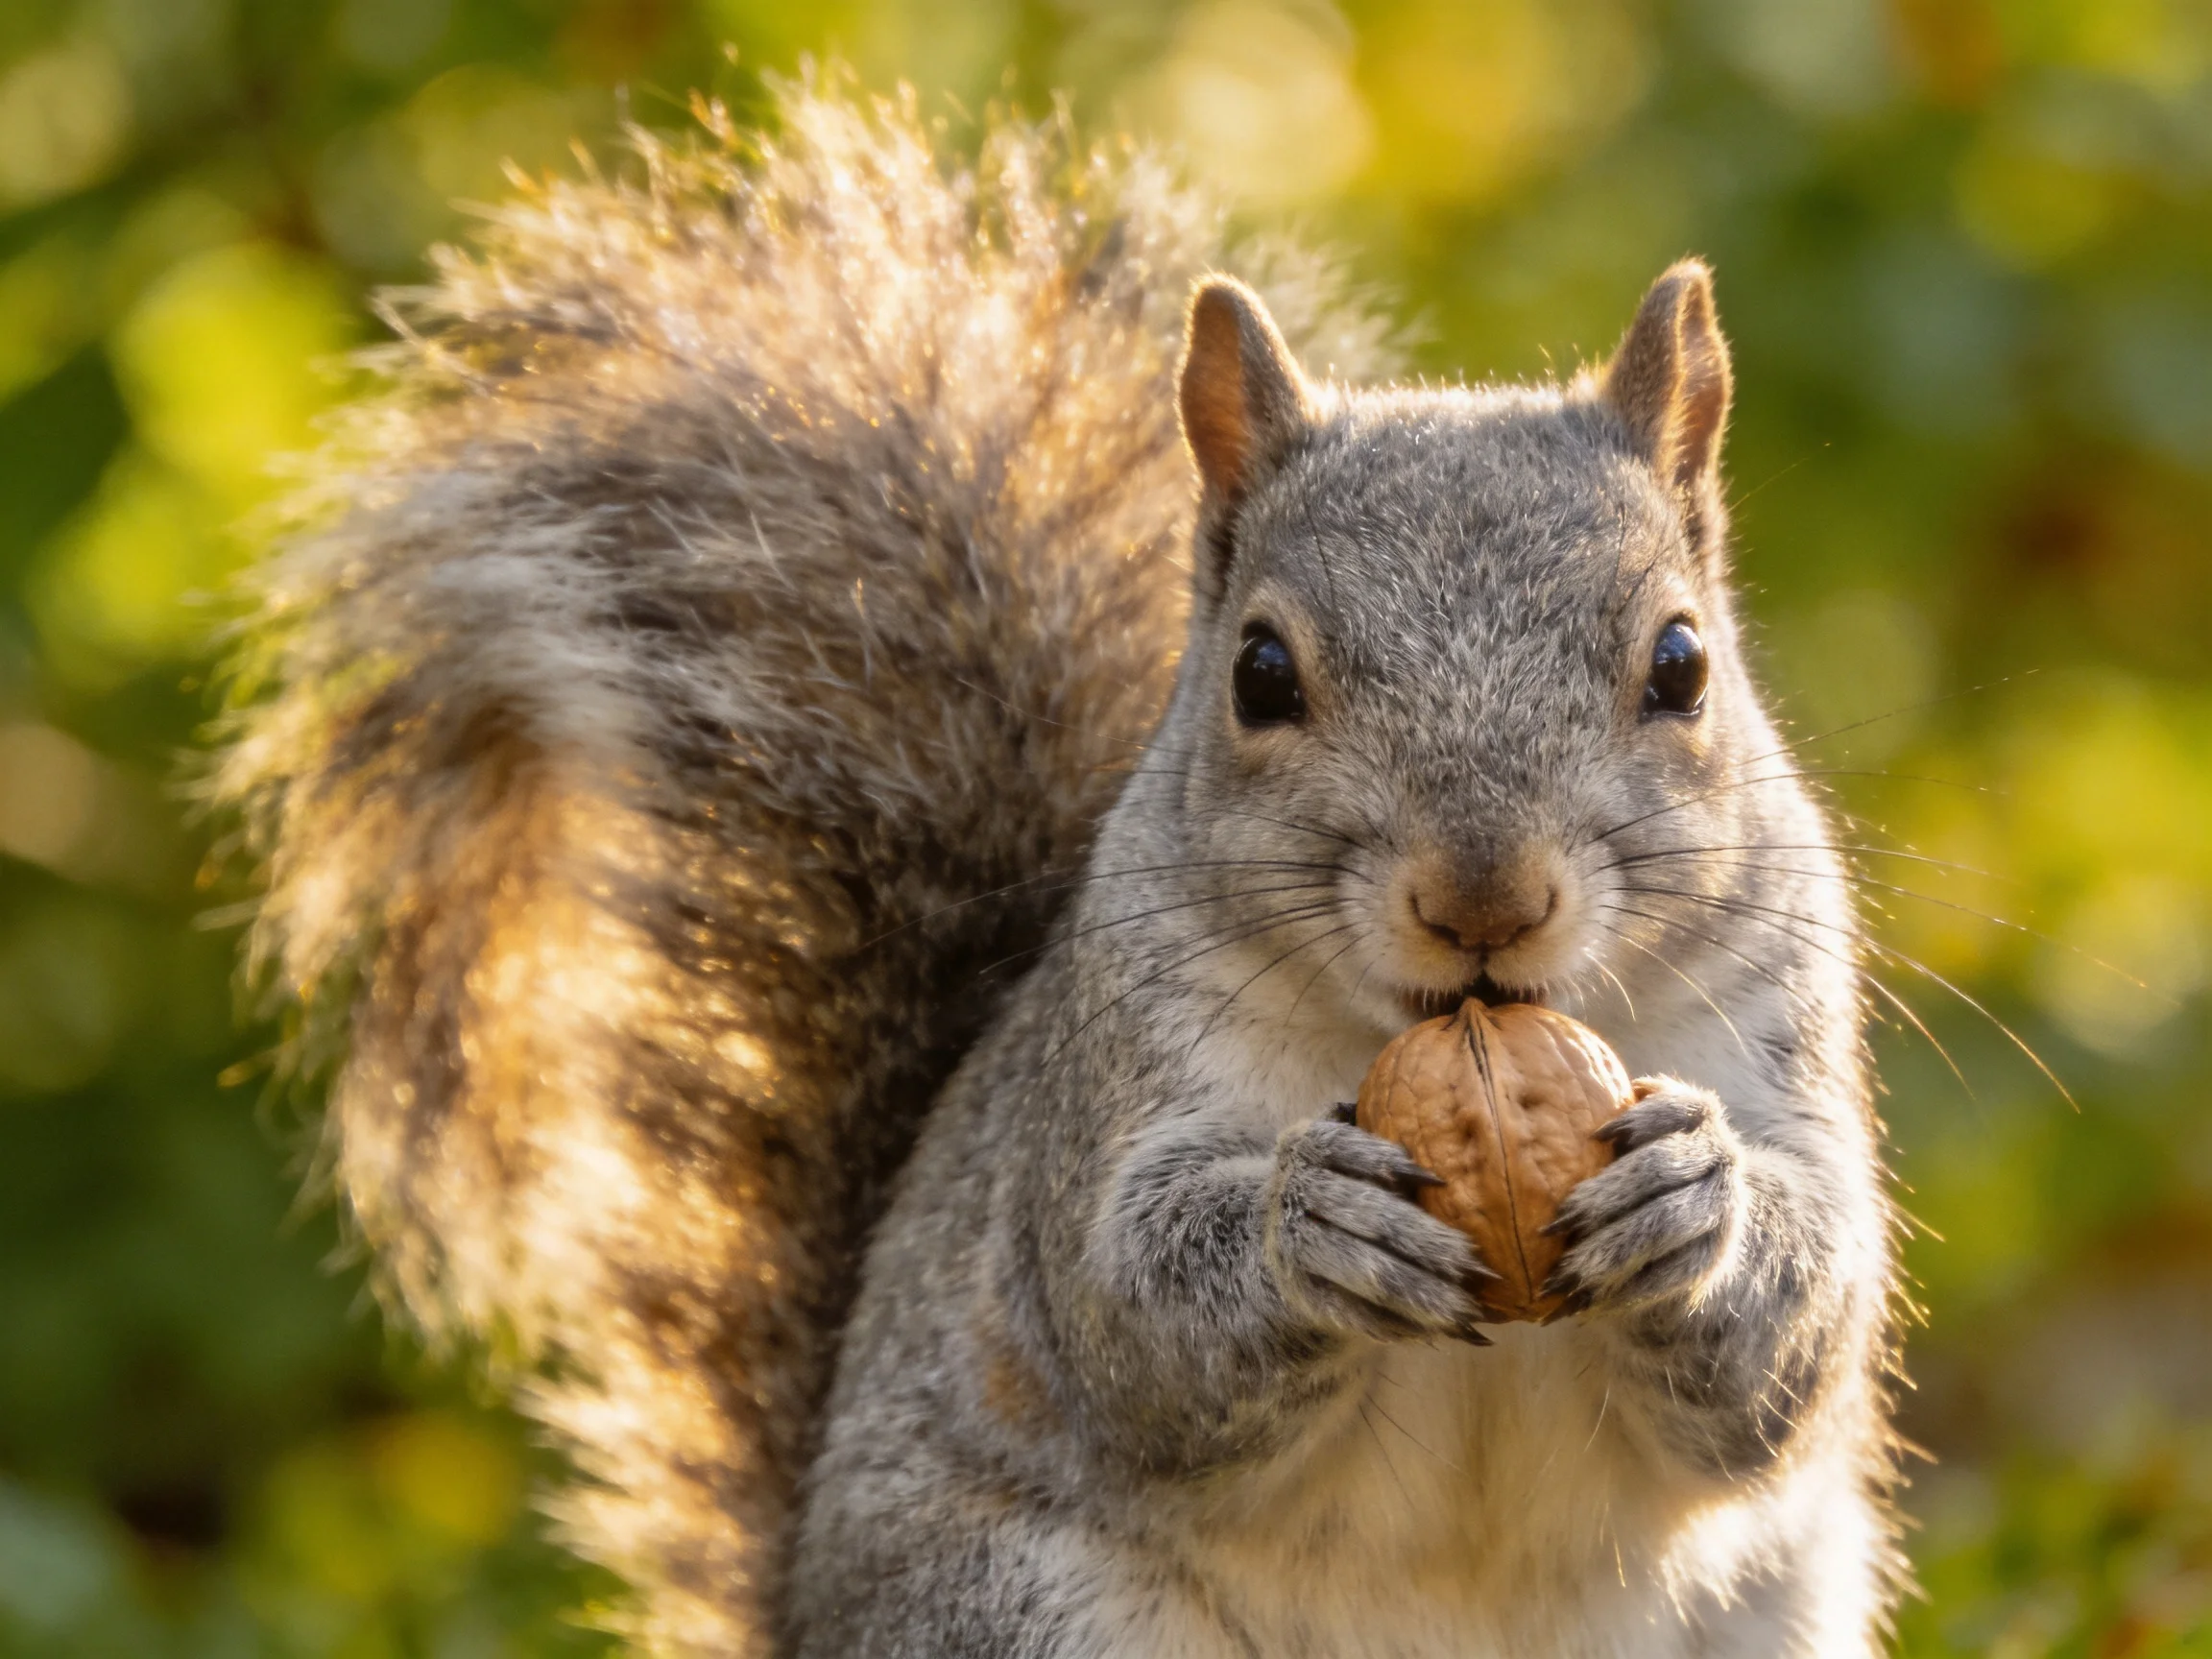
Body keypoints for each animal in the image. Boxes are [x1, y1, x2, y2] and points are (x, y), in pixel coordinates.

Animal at [217, 76, 1902, 1658]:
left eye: (1682, 663)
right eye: (1260, 674)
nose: (1481, 901)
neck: (1436, 1035)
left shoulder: (1782, 1014)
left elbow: (1797, 1341)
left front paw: (1702, 1201)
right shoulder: (1107, 1087)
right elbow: (1131, 1322)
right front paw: (1307, 1227)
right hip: (1026, 1614)